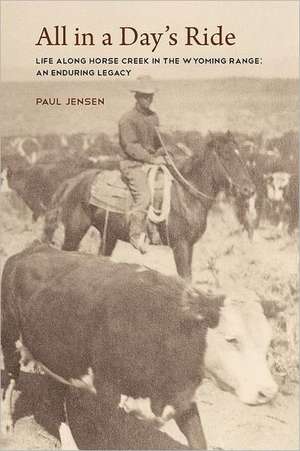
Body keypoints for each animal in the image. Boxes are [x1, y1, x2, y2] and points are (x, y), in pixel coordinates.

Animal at [1, 245, 223, 450]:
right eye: (229, 339)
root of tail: (30, 250)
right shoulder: (108, 394)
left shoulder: (181, 399)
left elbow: (198, 438)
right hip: (10, 337)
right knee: (11, 379)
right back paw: (7, 426)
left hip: (57, 358)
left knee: (56, 395)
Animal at [43, 132, 254, 278]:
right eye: (226, 156)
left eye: (241, 156)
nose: (249, 190)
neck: (186, 194)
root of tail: (72, 181)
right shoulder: (180, 245)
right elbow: (185, 279)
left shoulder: (190, 246)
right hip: (75, 230)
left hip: (108, 235)